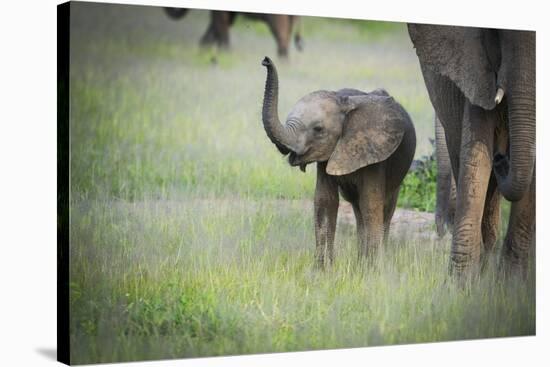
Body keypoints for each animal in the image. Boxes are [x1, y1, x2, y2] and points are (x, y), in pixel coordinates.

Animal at [260, 56, 416, 268]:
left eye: (318, 129)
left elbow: (371, 204)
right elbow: (325, 201)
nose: (266, 61)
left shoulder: (376, 155)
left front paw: (372, 270)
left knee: (385, 207)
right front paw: (322, 269)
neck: (343, 101)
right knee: (357, 209)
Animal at [410, 24, 540, 278]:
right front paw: (460, 284)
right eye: (497, 34)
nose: (501, 158)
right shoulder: (475, 68)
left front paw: (513, 283)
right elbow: (476, 156)